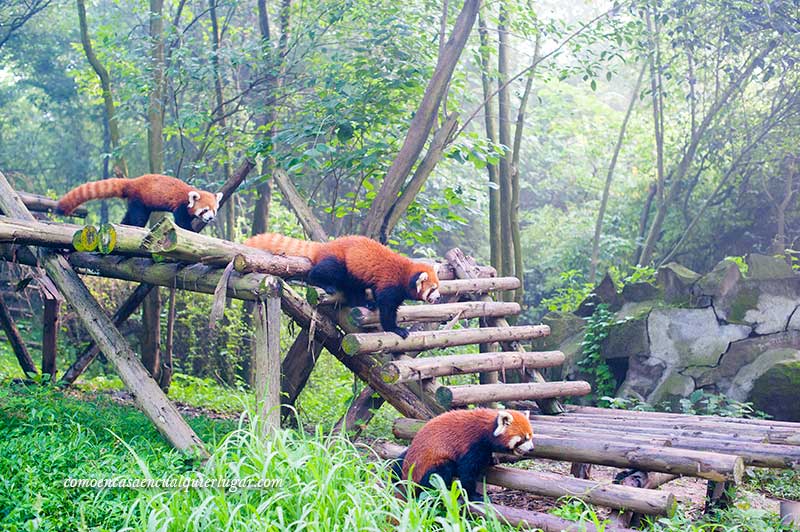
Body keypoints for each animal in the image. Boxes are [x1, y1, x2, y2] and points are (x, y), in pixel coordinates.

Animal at [55, 175, 222, 231]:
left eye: (213, 210)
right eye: (204, 210)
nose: (210, 218)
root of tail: (132, 182)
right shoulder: (180, 206)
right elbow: (182, 222)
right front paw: (191, 230)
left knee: (128, 216)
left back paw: (124, 225)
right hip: (139, 200)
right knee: (138, 218)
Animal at [245, 235, 444, 338]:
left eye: (438, 287)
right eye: (433, 289)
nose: (438, 297)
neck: (405, 274)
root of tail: (324, 246)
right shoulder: (389, 283)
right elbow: (386, 308)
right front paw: (395, 328)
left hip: (353, 273)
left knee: (353, 289)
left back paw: (364, 303)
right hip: (339, 261)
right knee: (322, 271)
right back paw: (324, 284)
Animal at [392, 410, 532, 500]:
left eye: (530, 437)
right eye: (524, 439)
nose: (531, 448)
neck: (487, 429)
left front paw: (492, 459)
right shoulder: (472, 445)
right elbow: (467, 472)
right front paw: (474, 496)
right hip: (427, 467)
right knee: (439, 473)